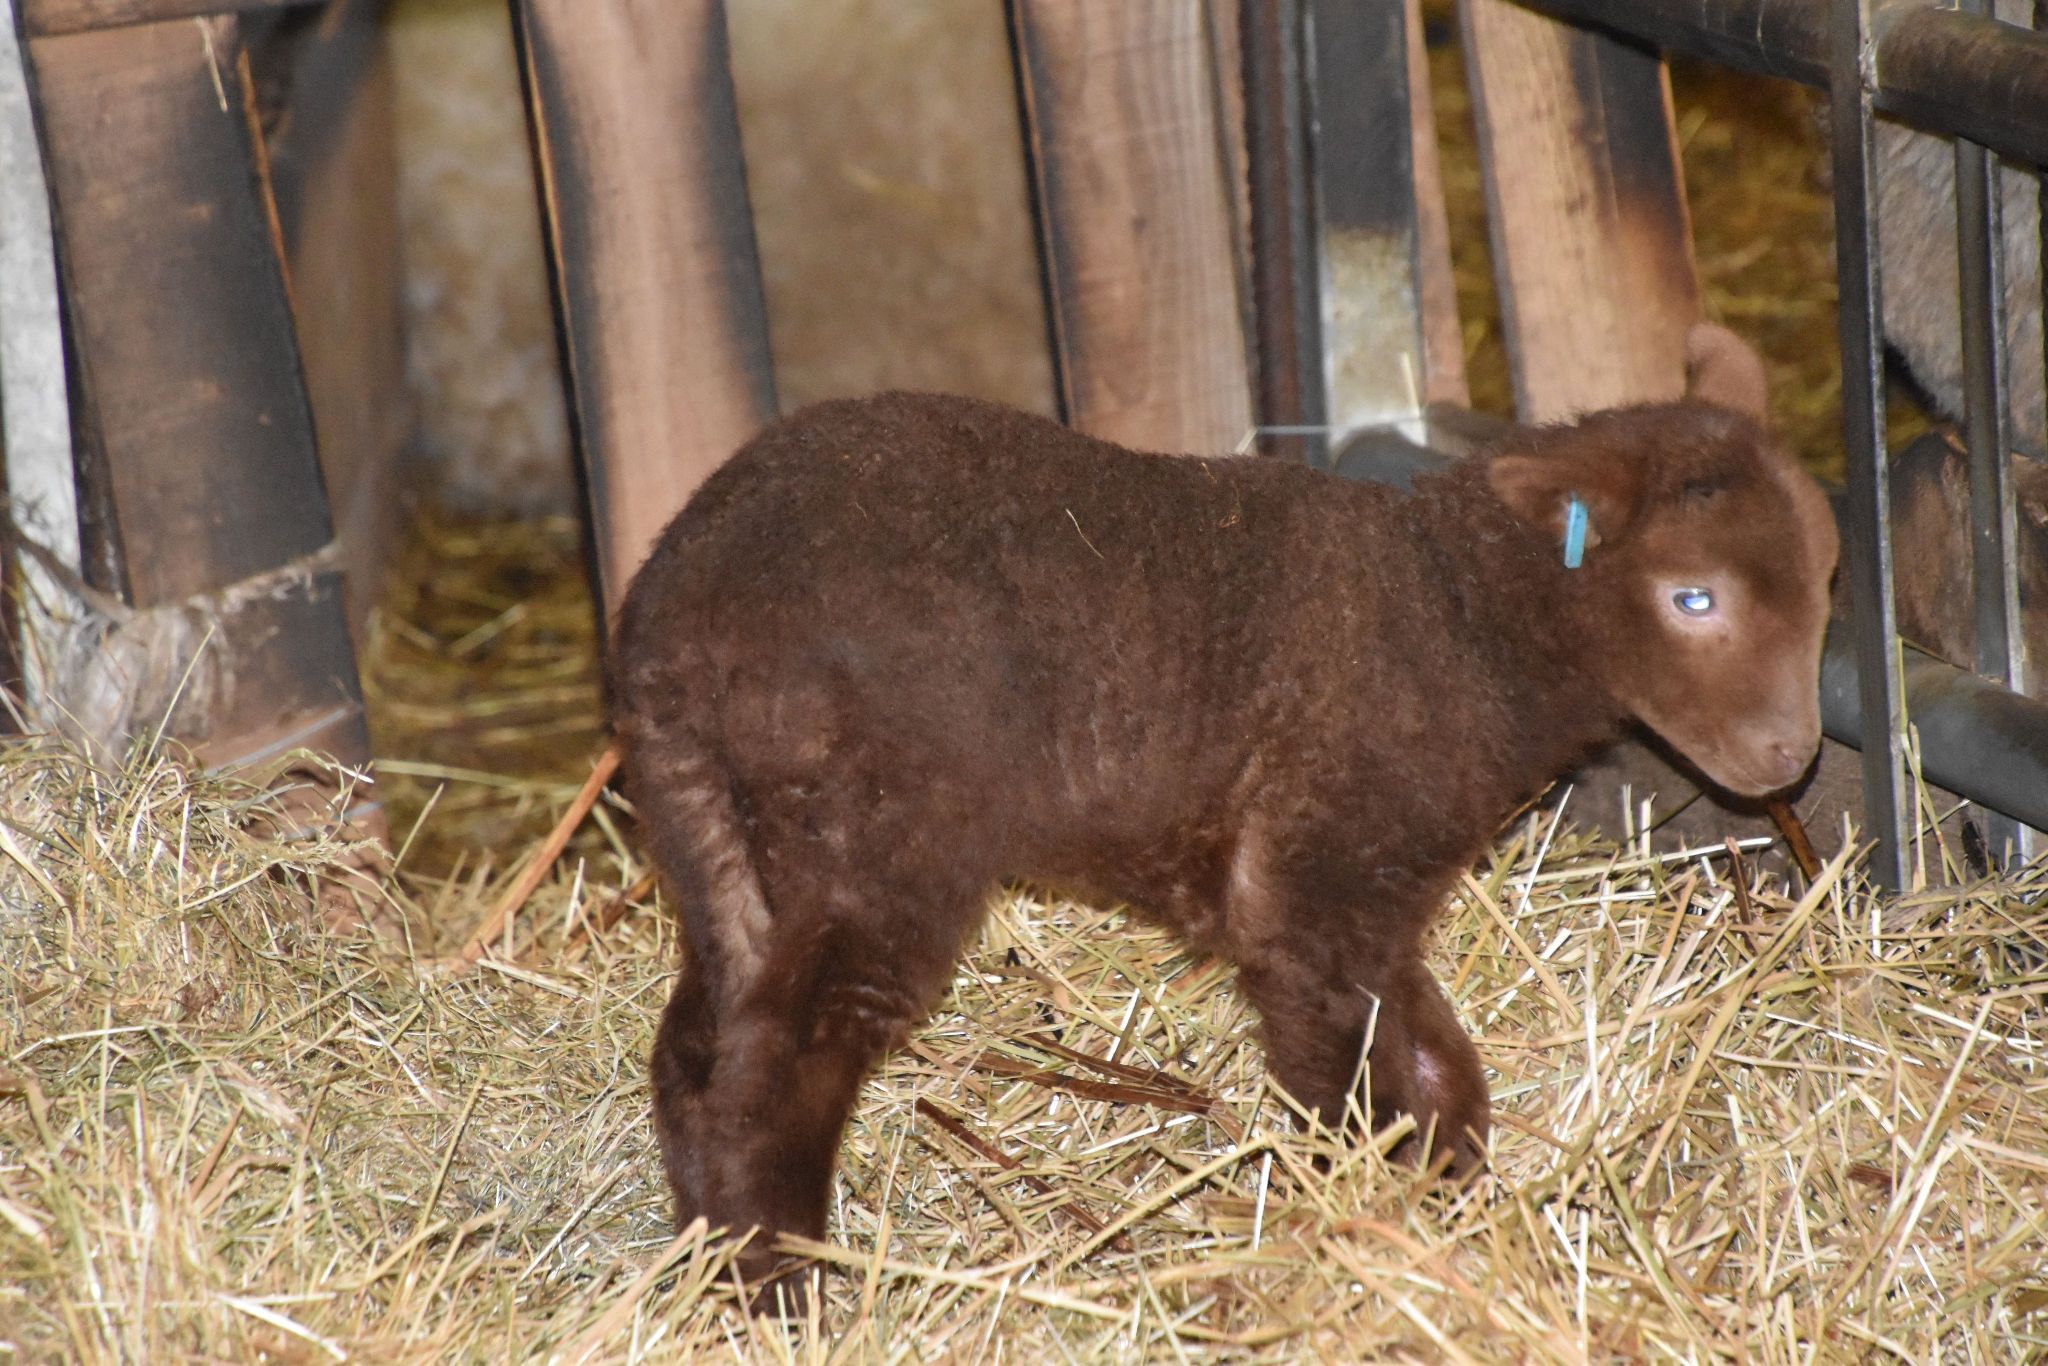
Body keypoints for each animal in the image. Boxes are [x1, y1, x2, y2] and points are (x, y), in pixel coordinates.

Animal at [608, 323, 1839, 1287]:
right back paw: (784, 1290)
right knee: (778, 1065)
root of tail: (677, 614)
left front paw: (1443, 1197)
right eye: (1693, 599)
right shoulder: (1316, 866)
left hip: (720, 833)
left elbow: (1430, 1059)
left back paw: (706, 1268)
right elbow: (1344, 1072)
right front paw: (1360, 1213)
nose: (1790, 754)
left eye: (1828, 577)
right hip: (874, 832)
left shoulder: (1364, 889)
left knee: (694, 1053)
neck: (1455, 610)